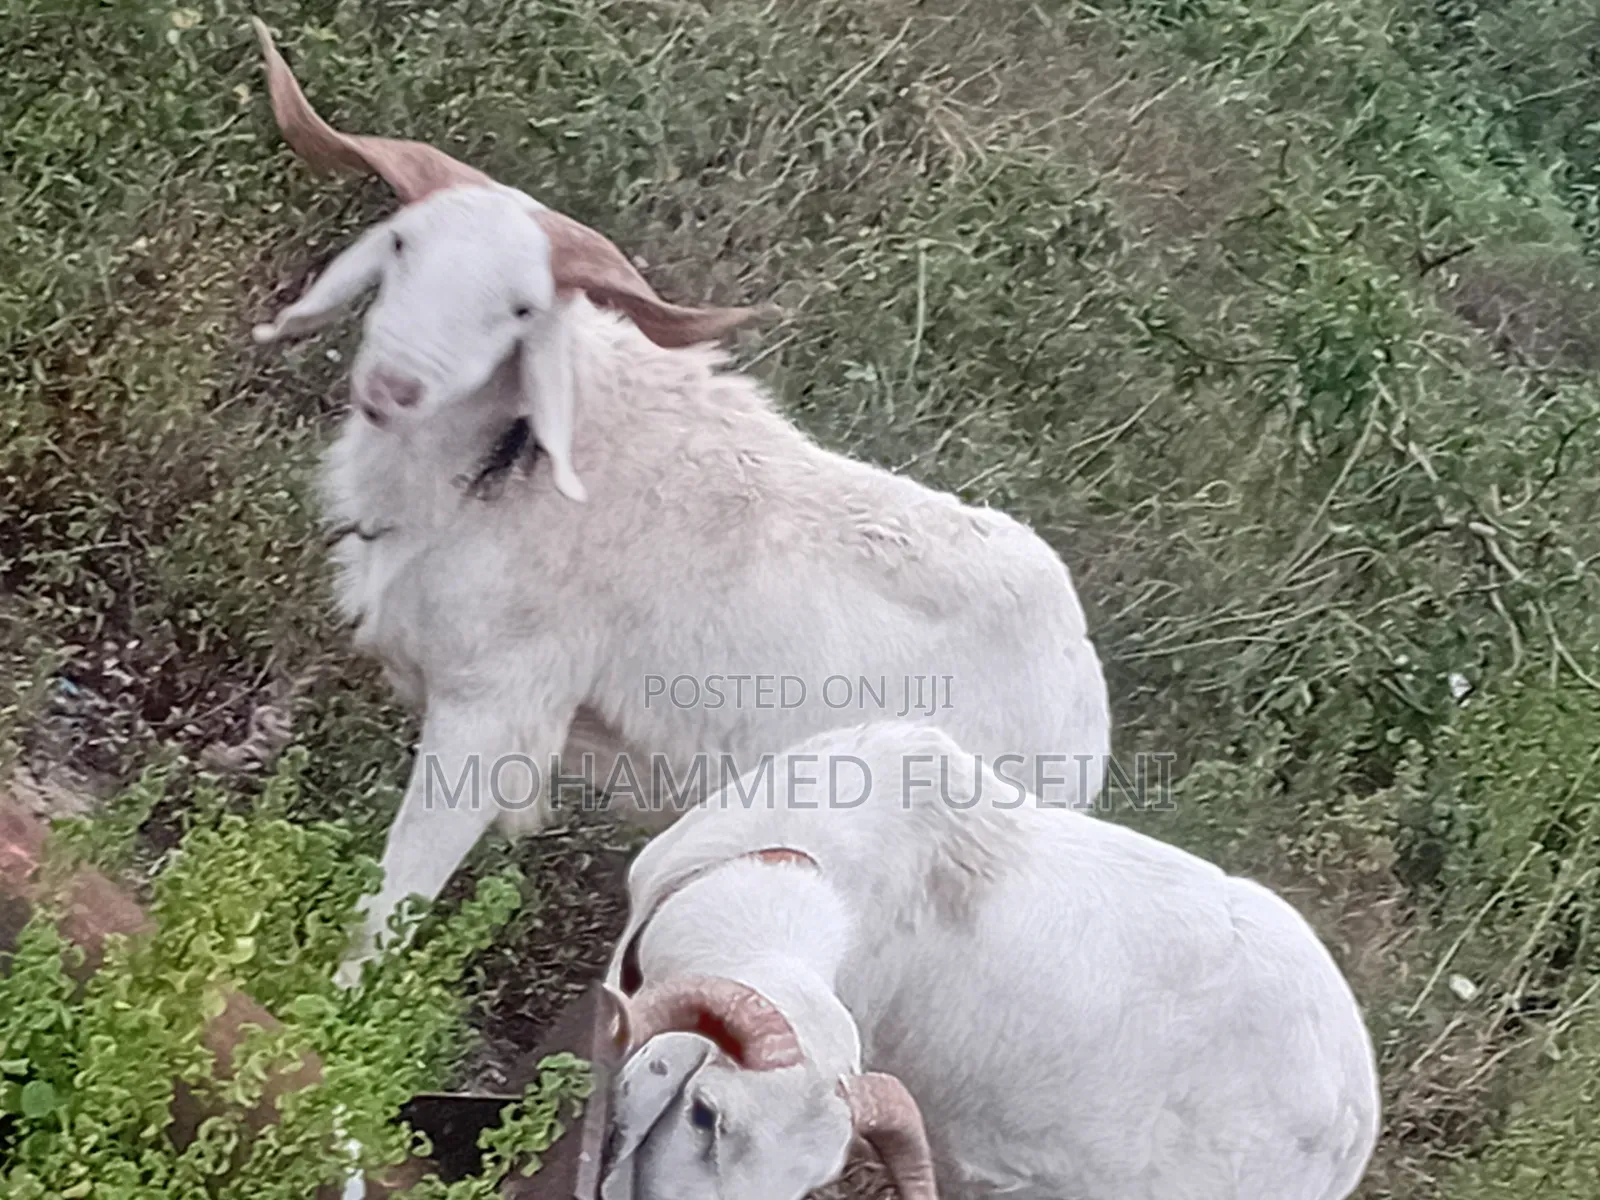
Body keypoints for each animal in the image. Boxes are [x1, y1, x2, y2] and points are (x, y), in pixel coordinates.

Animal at [246, 22, 1111, 987]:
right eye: (401, 247)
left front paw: (329, 1003)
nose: (395, 385)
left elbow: (393, 899)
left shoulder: (495, 710)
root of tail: (1084, 702)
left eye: (521, 309)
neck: (510, 467)